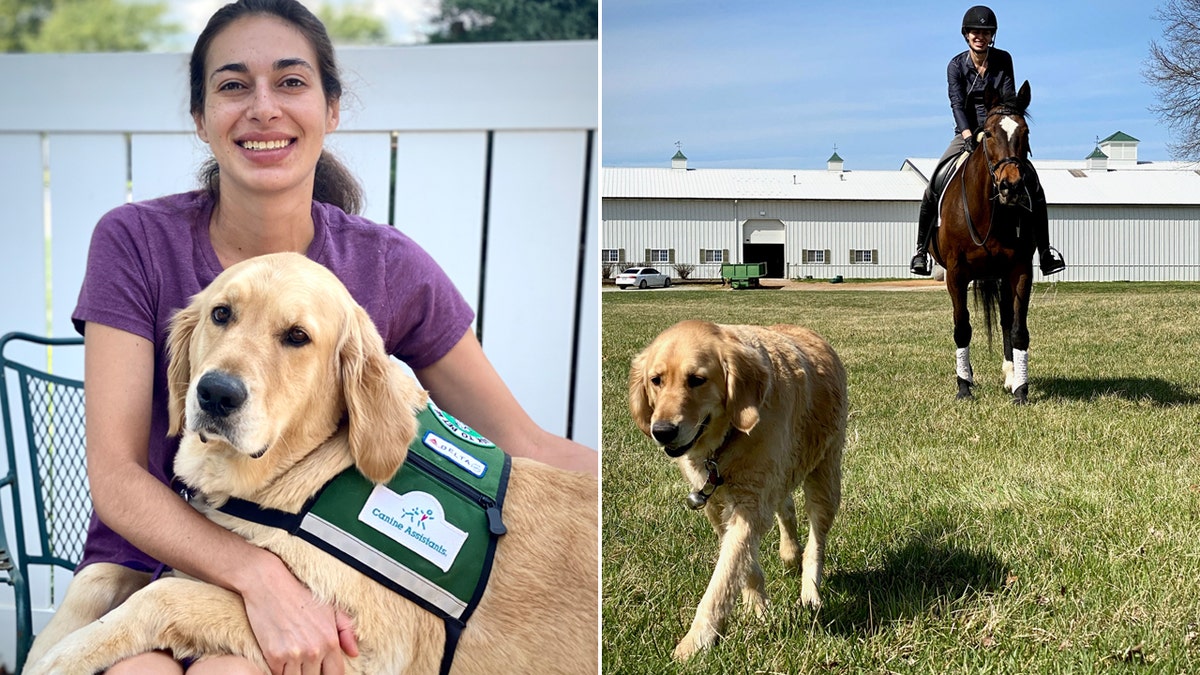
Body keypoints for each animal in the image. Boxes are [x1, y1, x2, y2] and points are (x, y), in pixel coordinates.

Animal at [23, 252, 595, 672]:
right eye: (221, 313)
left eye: (297, 336)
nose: (215, 393)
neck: (306, 474)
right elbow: (101, 576)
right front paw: (44, 647)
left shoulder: (361, 645)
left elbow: (160, 594)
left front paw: (62, 659)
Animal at [628, 319, 844, 658]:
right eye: (656, 380)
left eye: (697, 380)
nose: (661, 431)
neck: (725, 442)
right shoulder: (717, 504)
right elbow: (745, 563)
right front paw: (757, 607)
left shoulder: (750, 502)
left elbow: (724, 576)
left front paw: (695, 642)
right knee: (786, 506)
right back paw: (789, 553)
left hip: (825, 475)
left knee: (816, 543)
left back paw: (810, 592)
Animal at [926, 81, 1041, 401]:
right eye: (988, 133)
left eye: (1025, 132)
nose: (1011, 186)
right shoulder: (955, 274)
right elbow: (962, 328)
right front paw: (964, 386)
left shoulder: (1019, 270)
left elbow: (1017, 328)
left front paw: (1020, 389)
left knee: (1005, 320)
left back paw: (1010, 375)